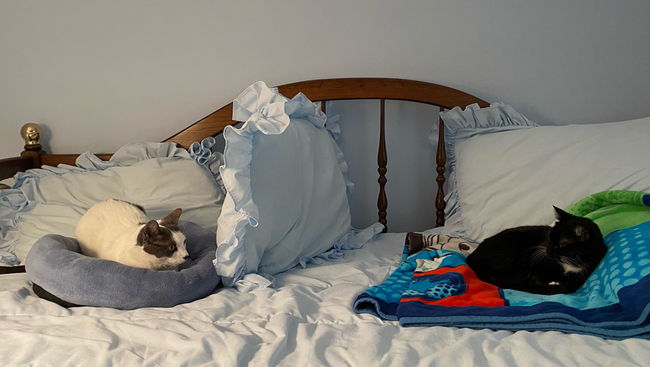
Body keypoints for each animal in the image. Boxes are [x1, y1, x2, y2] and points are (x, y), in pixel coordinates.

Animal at [464, 207, 604, 296]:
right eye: (550, 237)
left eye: (562, 244)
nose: (547, 250)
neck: (569, 264)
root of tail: (470, 260)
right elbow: (539, 279)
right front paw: (550, 283)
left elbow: (571, 285)